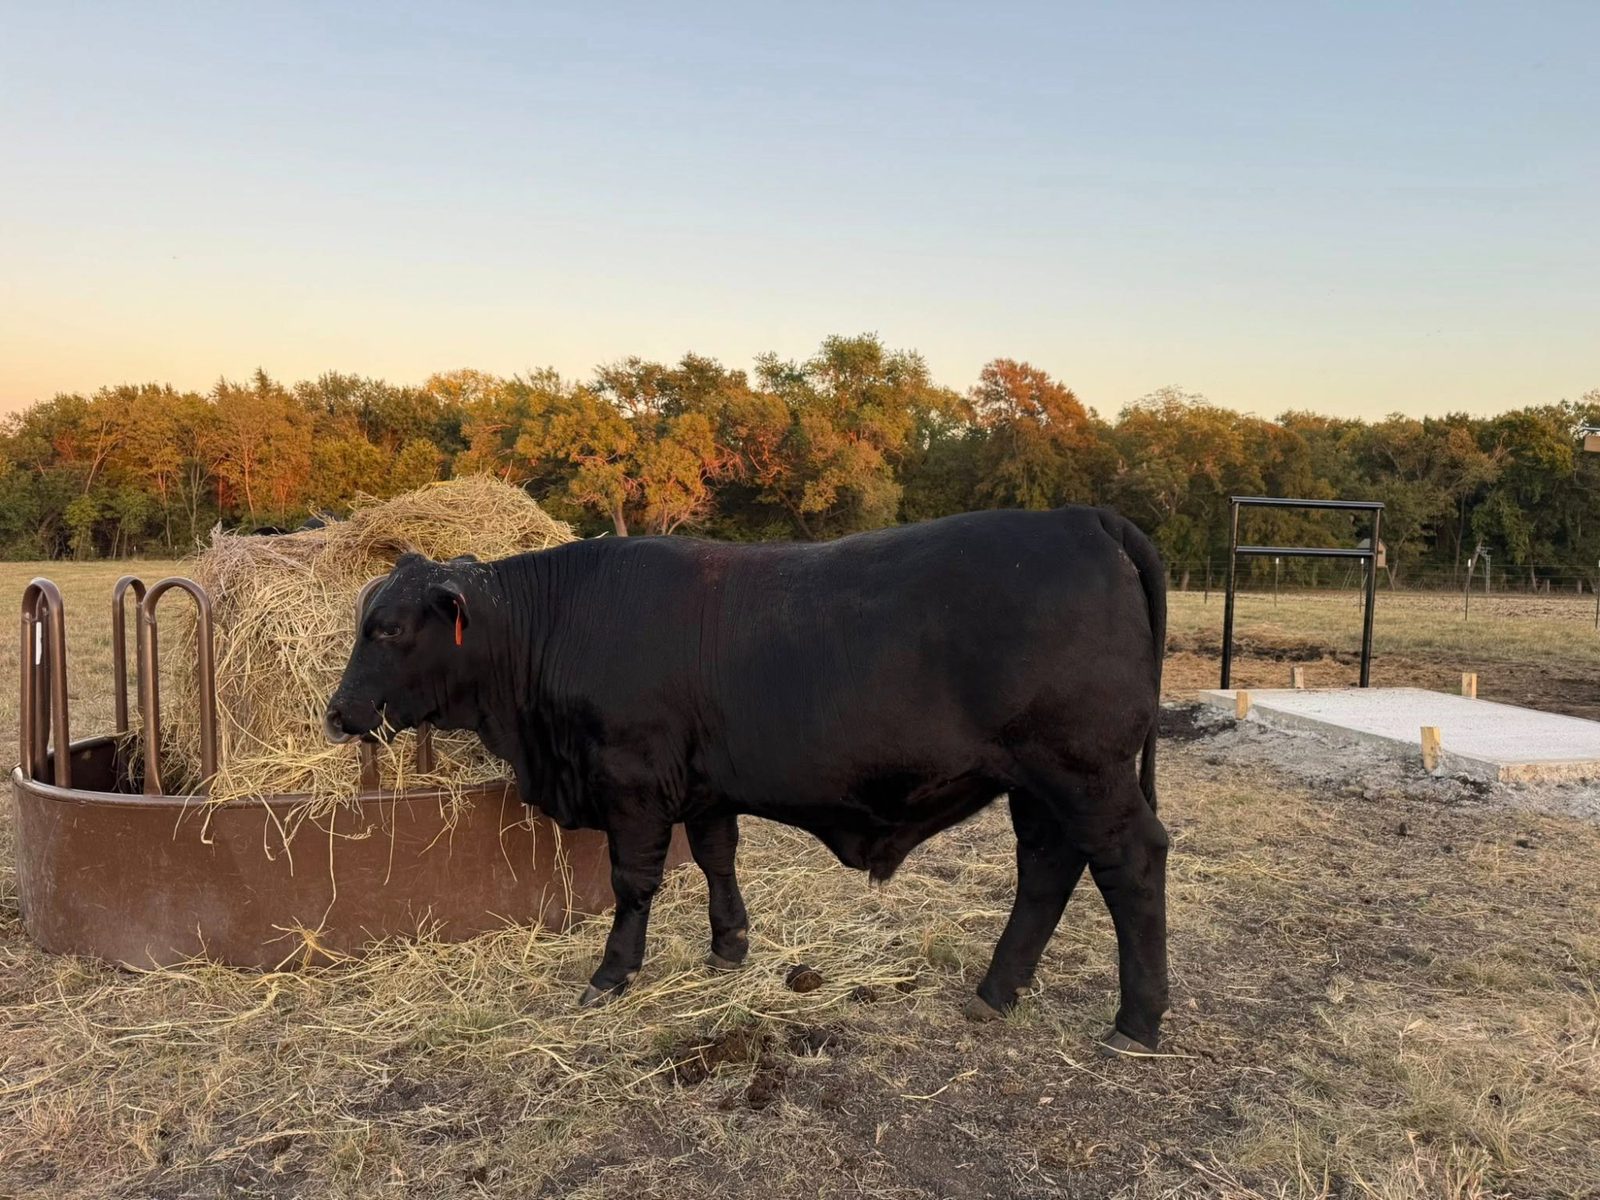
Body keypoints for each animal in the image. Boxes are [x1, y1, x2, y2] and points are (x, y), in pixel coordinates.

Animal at [325, 507, 1170, 1053]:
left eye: (387, 628)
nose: (337, 711)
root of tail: (1083, 518)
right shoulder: (702, 785)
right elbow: (716, 855)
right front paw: (729, 944)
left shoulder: (633, 780)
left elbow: (634, 880)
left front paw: (612, 973)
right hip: (1039, 784)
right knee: (1047, 868)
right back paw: (997, 989)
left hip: (1083, 771)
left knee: (1130, 862)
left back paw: (1137, 1022)